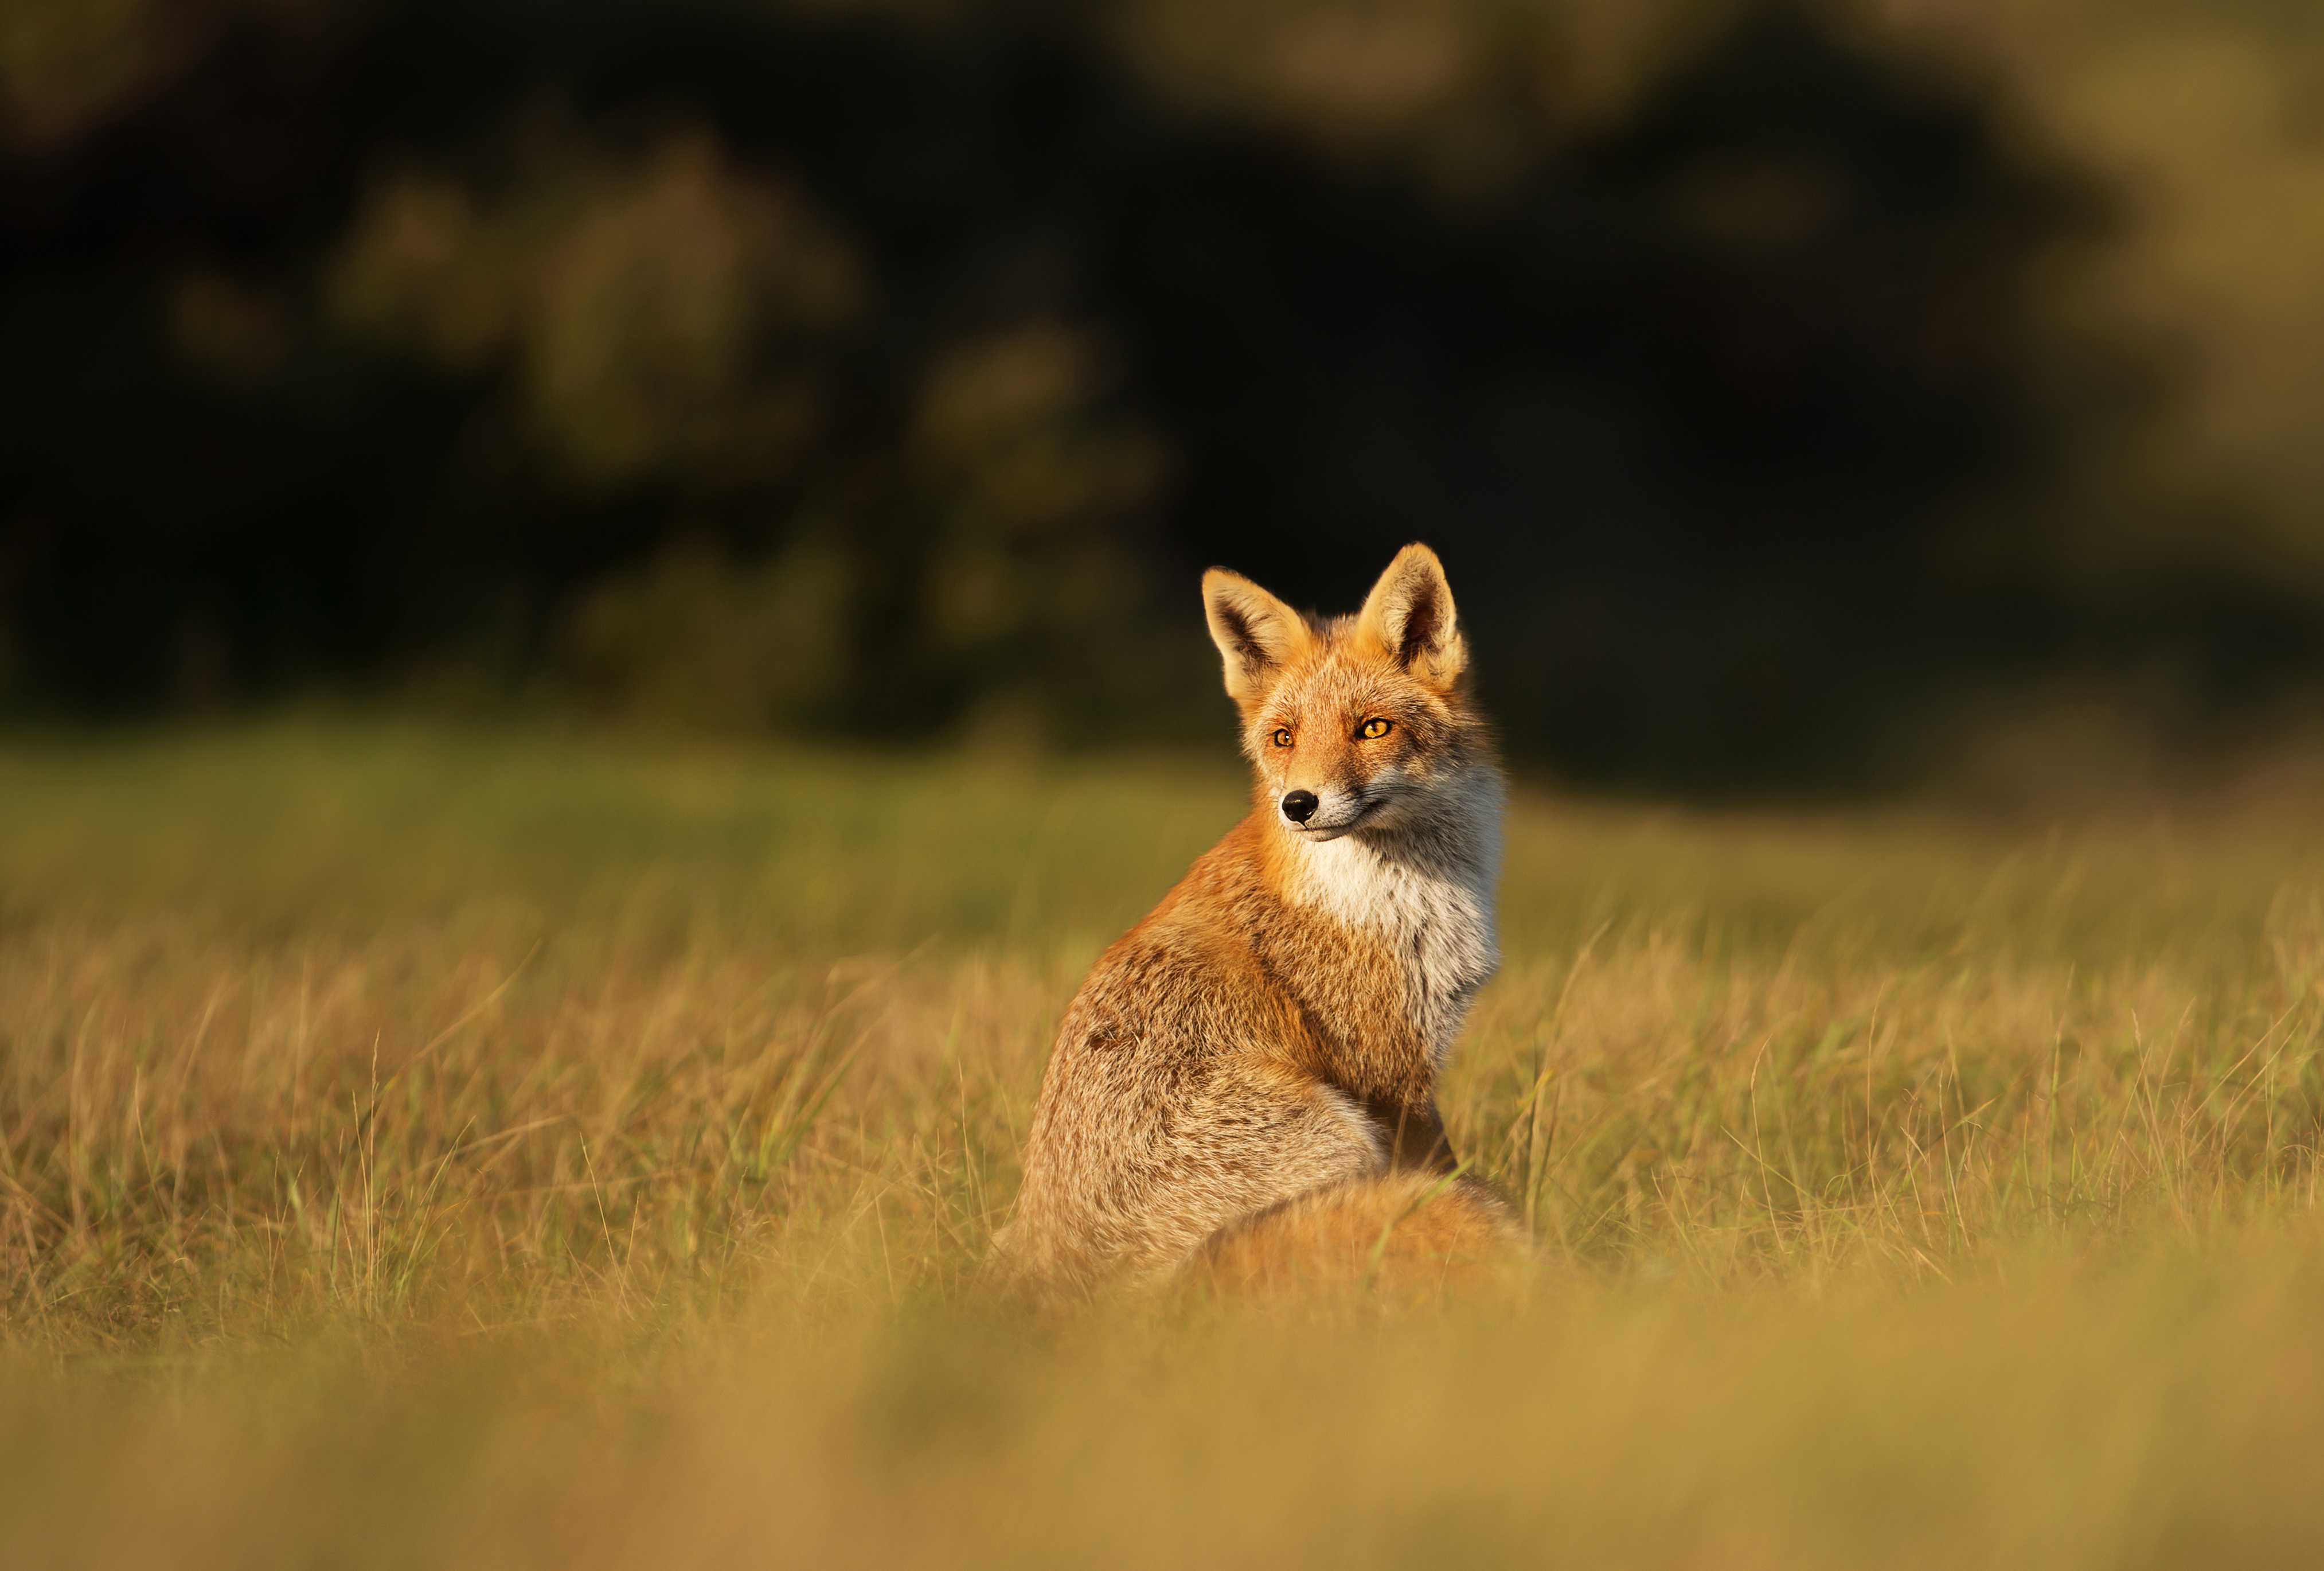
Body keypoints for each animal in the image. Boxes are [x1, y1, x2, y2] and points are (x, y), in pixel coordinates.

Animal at [985, 546, 1515, 1292]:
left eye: (1373, 728)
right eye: (1284, 738)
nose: (1299, 804)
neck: (1398, 898)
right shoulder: (1391, 1074)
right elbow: (1448, 1172)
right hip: (1340, 1134)